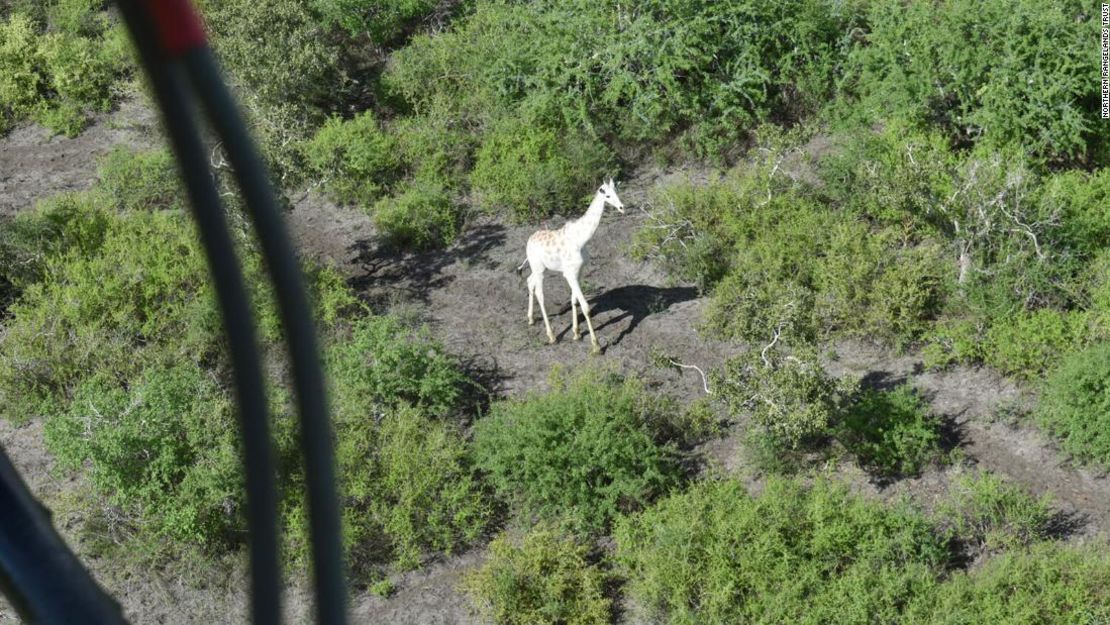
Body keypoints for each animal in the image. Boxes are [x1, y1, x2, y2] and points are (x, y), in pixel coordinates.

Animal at [512, 178, 621, 355]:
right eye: (608, 196)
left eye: (617, 192)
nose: (621, 207)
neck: (581, 239)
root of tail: (528, 242)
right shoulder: (570, 273)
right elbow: (585, 306)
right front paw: (596, 346)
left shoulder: (579, 272)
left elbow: (574, 300)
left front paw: (576, 333)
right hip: (539, 270)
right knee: (540, 294)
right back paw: (551, 336)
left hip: (539, 268)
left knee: (529, 282)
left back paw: (531, 319)